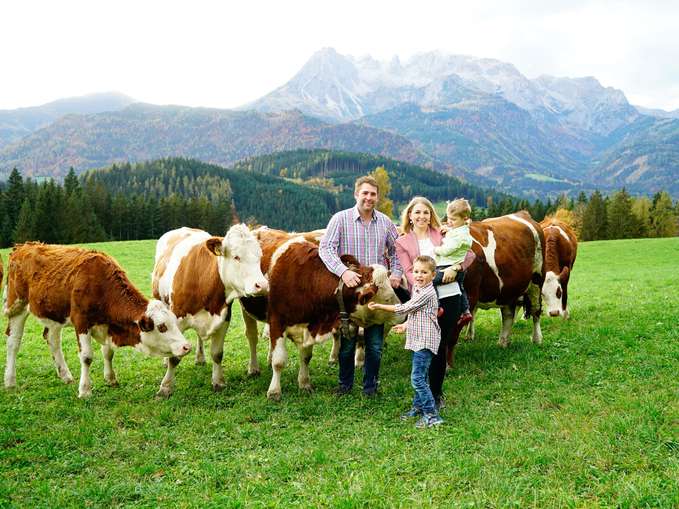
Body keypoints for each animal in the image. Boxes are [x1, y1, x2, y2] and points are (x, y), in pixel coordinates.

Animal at [3, 242, 193, 396]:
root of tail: (22, 246)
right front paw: (85, 390)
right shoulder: (81, 321)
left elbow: (108, 352)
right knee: (13, 342)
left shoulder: (107, 324)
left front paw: (110, 378)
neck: (102, 286)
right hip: (17, 305)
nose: (187, 346)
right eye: (162, 327)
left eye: (174, 323)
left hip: (53, 313)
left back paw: (65, 375)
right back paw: (10, 381)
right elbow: (87, 357)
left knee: (52, 339)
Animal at [151, 223, 268, 396]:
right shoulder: (177, 319)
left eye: (259, 256)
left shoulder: (223, 318)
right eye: (236, 257)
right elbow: (175, 357)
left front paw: (218, 382)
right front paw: (165, 387)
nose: (262, 285)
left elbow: (217, 354)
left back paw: (200, 358)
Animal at [454, 210, 548, 362]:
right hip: (508, 289)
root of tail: (522, 213)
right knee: (508, 314)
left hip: (536, 280)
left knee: (535, 310)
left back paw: (537, 339)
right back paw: (503, 342)